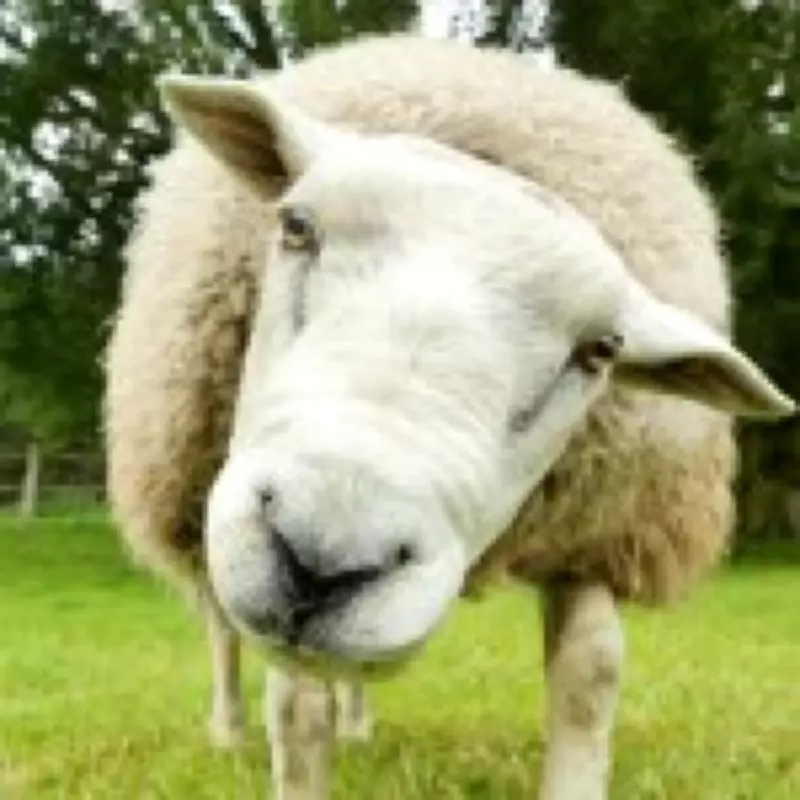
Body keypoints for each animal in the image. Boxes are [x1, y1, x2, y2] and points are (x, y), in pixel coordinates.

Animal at [104, 34, 794, 799]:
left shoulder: (598, 528)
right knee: (221, 627)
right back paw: (229, 733)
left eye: (601, 350)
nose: (325, 555)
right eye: (296, 226)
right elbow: (295, 710)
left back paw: (356, 724)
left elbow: (589, 675)